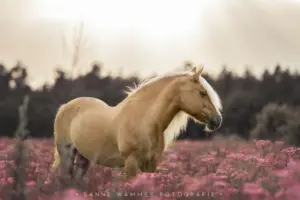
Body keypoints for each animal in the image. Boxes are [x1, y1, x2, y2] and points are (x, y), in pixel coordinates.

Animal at [50, 65, 221, 181]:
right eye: (202, 93)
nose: (217, 120)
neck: (144, 121)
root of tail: (63, 107)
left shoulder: (151, 164)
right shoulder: (130, 163)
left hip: (83, 158)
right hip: (66, 154)